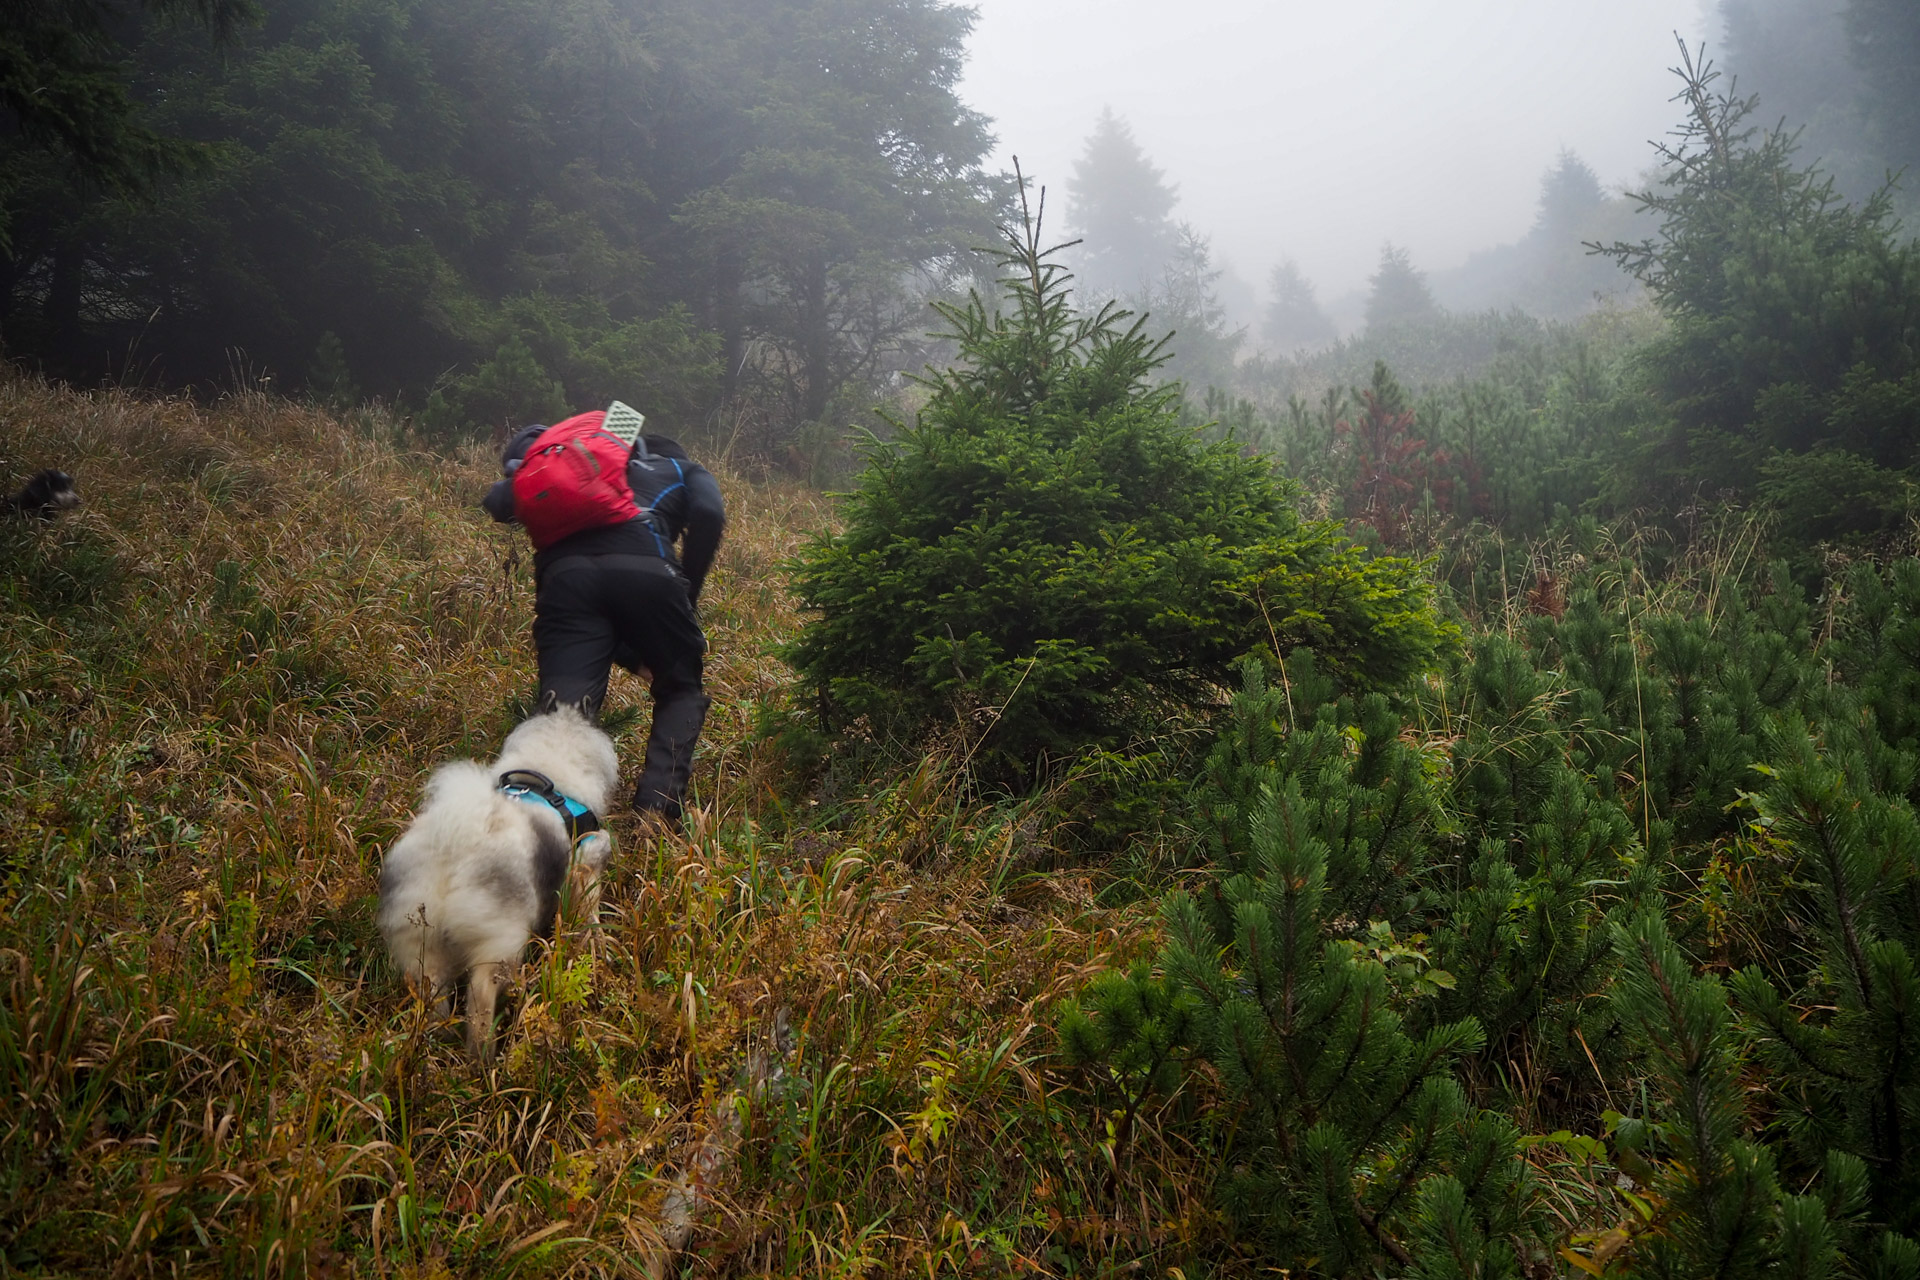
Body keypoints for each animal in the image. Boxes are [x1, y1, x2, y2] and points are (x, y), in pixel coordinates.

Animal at [374, 702, 614, 1059]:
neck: (548, 768)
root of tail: (453, 851)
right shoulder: (587, 859)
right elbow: (590, 915)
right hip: (501, 946)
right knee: (479, 1003)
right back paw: (484, 1058)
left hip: (422, 947)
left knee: (434, 1000)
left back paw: (436, 1045)